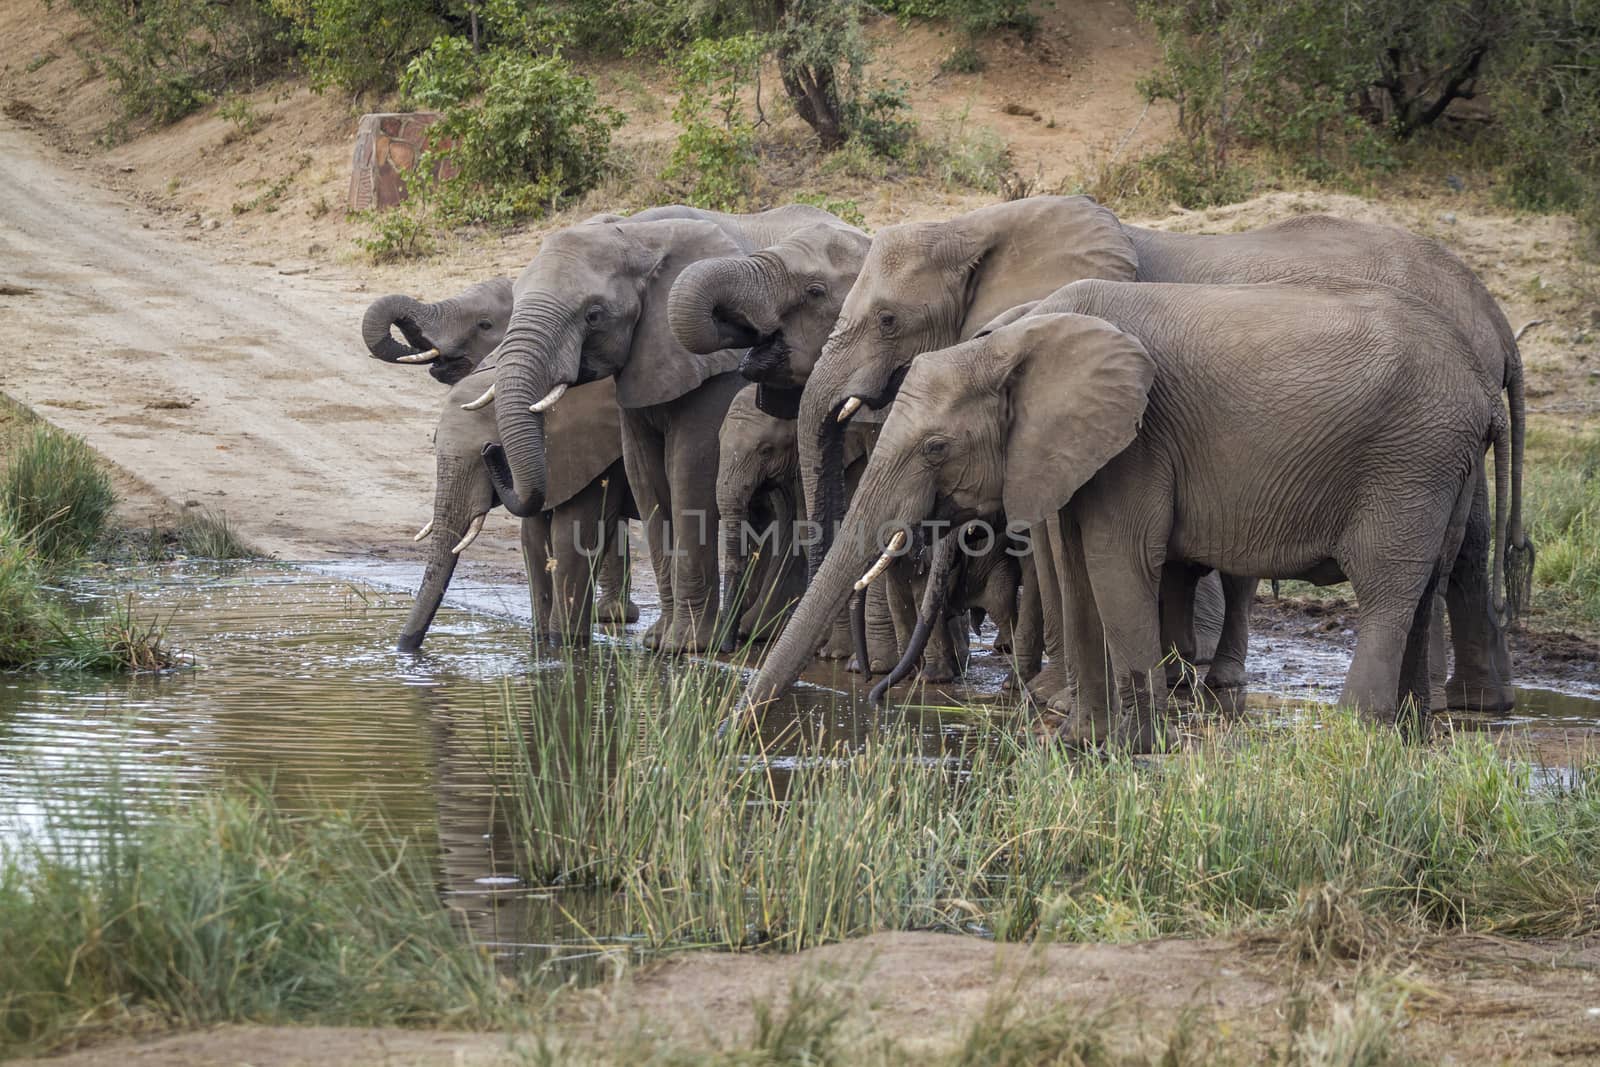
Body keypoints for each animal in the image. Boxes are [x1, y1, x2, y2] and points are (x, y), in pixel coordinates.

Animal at [473, 201, 851, 652]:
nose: (489, 450)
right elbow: (646, 476)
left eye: (593, 315)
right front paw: (657, 643)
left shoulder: (714, 374)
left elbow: (689, 472)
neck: (637, 235)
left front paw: (685, 646)